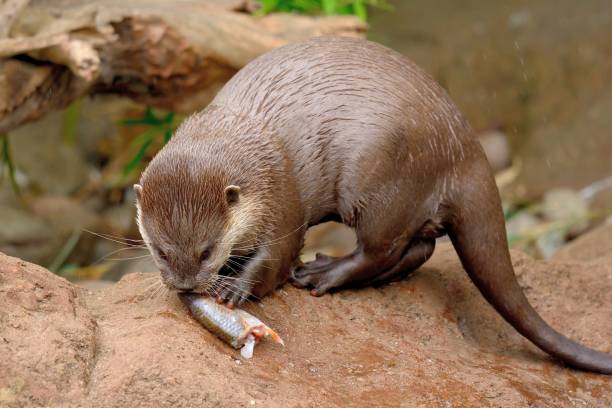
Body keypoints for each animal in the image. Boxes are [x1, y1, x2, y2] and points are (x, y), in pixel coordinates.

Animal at [136, 35, 612, 372]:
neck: (252, 142)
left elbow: (278, 258)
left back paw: (324, 274)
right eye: (160, 251)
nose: (184, 287)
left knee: (380, 247)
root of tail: (462, 147)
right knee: (420, 247)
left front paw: (235, 288)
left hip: (381, 178)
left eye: (207, 251)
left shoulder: (281, 197)